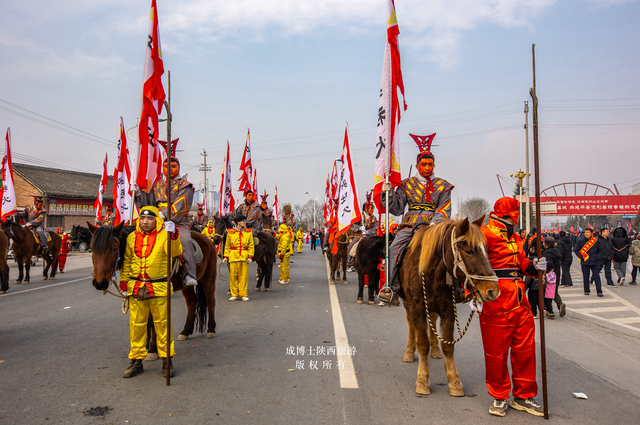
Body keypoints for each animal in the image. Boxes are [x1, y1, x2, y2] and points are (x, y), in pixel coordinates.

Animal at [89, 220, 218, 340]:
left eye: (114, 249)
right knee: (191, 302)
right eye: (92, 249)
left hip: (209, 277)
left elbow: (152, 321)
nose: (99, 283)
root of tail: (207, 239)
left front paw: (152, 347)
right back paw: (185, 331)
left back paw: (211, 329)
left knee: (210, 300)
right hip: (185, 285)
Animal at [400, 217, 500, 396]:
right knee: (410, 322)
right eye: (469, 251)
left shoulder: (448, 310)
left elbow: (448, 345)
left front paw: (454, 382)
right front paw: (423, 380)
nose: (492, 291)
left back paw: (435, 351)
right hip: (407, 302)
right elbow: (422, 344)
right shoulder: (417, 308)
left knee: (432, 320)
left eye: (486, 250)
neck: (434, 274)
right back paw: (410, 352)